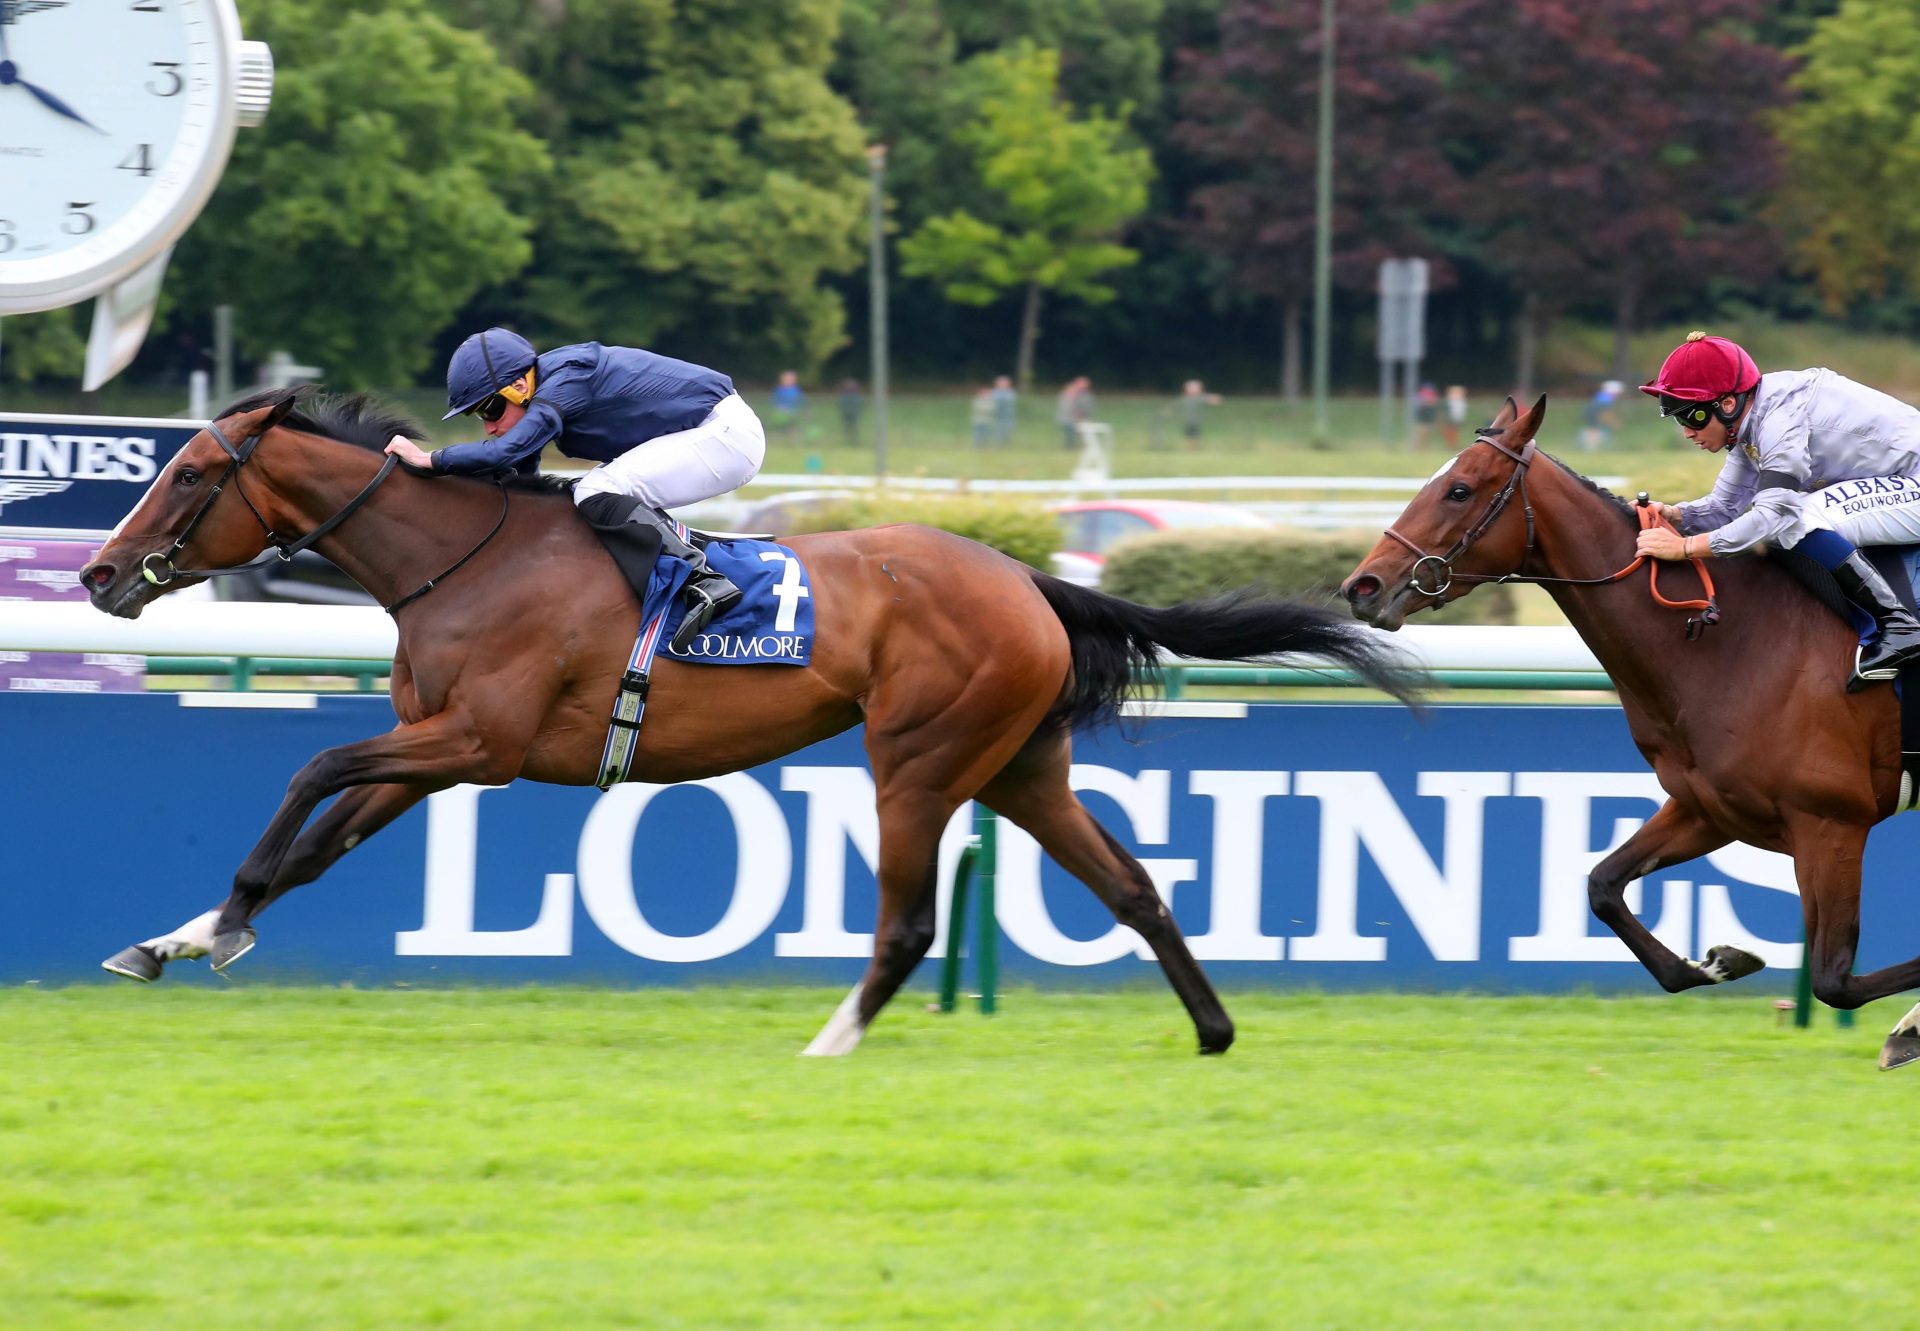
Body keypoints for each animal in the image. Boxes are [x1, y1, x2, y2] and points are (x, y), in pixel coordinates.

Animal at [82, 389, 1420, 1052]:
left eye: (188, 473)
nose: (99, 574)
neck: (462, 557)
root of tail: (1028, 576)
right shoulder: (436, 751)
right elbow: (317, 838)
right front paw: (186, 934)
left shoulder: (483, 743)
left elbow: (310, 768)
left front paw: (211, 925)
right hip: (1018, 765)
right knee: (1135, 885)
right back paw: (1213, 1030)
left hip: (917, 757)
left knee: (910, 918)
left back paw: (833, 1039)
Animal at [1344, 393, 1920, 1067]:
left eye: (1459, 490)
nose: (1361, 586)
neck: (1732, 641)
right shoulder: (1711, 807)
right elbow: (1603, 885)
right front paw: (1721, 960)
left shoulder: (1831, 821)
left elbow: (1835, 979)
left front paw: (1906, 1029)